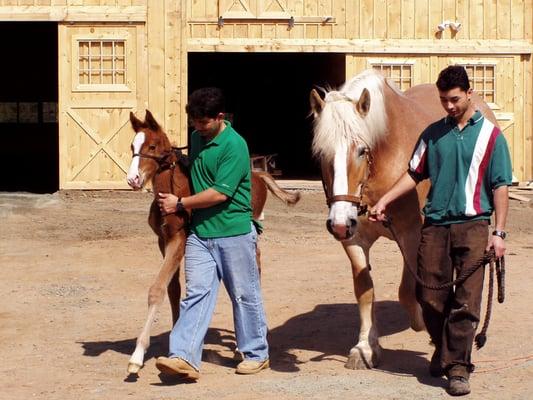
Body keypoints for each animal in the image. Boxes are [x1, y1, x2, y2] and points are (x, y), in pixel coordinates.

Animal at [125, 110, 300, 376]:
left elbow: (157, 290)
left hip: (249, 235)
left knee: (252, 274)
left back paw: (241, 347)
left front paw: (136, 356)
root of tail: (258, 174)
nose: (132, 179)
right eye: (132, 146)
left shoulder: (179, 239)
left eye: (152, 146)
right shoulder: (163, 241)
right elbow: (173, 289)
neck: (174, 194)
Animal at [310, 70, 496, 370]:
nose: (338, 224)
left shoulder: (411, 234)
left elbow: (409, 291)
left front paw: (422, 324)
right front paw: (365, 348)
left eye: (362, 150)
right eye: (321, 153)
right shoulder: (354, 238)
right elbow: (365, 291)